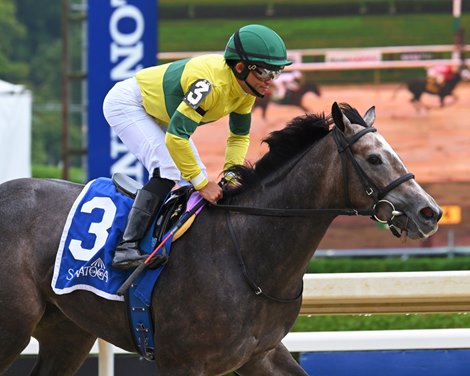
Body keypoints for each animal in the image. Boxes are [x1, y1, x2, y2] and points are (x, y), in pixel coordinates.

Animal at [0, 101, 440, 374]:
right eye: (374, 158)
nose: (429, 212)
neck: (247, 251)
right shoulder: (182, 363)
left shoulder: (260, 354)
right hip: (13, 326)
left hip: (67, 331)